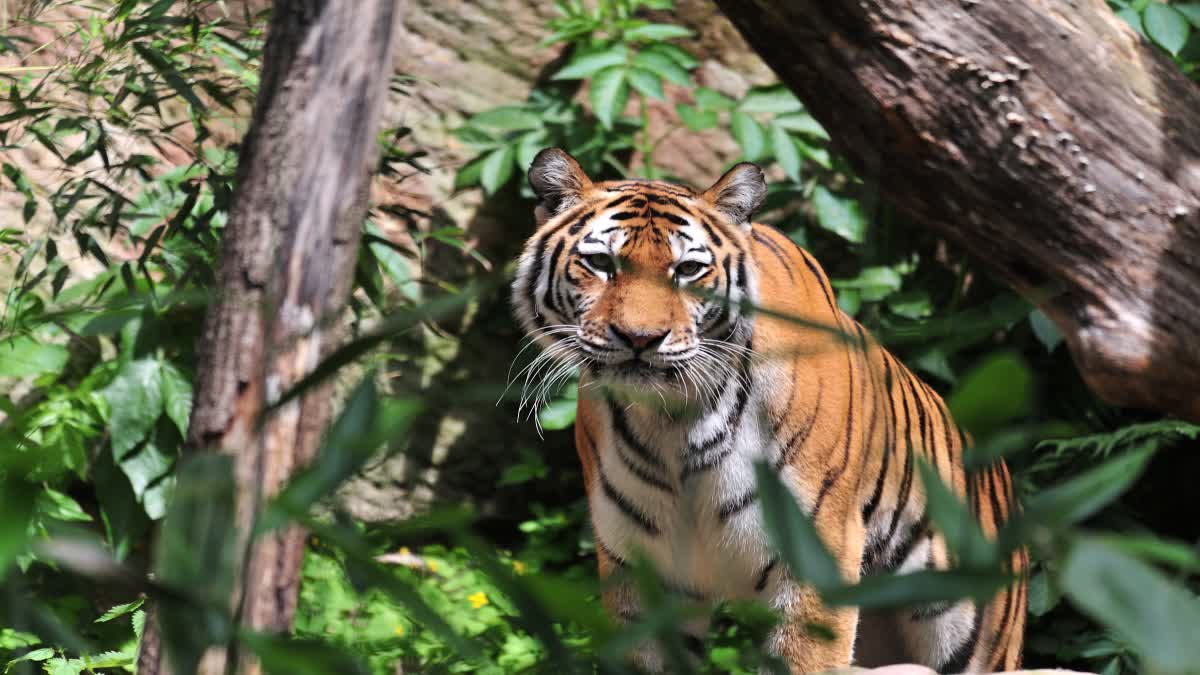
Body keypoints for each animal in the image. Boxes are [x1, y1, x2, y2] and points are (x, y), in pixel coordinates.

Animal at [511, 145, 1027, 667]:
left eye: (688, 270)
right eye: (600, 262)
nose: (640, 339)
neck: (673, 421)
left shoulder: (816, 566)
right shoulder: (641, 575)